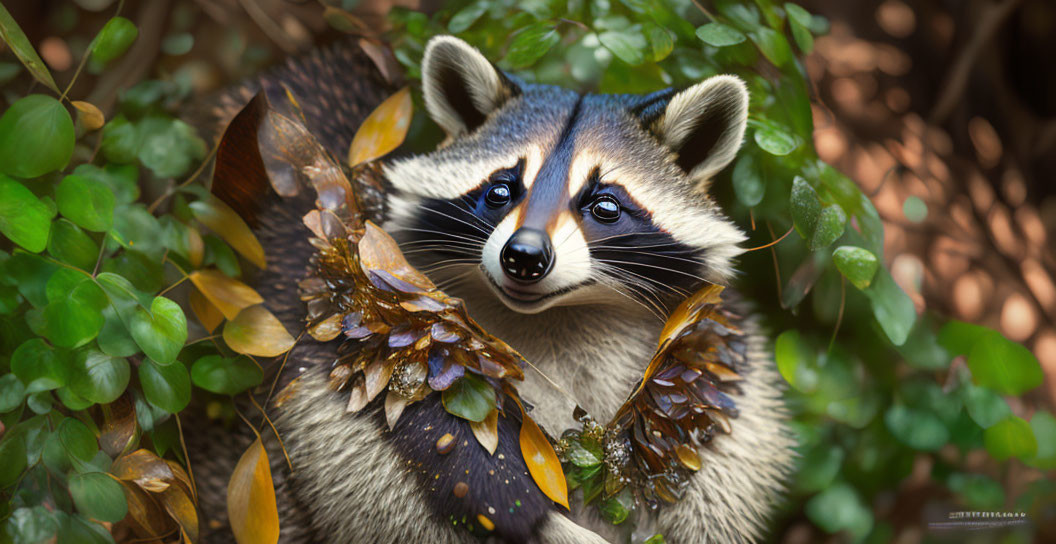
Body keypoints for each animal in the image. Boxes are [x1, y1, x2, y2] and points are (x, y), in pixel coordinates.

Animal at [187, 34, 794, 544]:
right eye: (501, 190)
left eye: (604, 205)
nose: (523, 257)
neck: (558, 315)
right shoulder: (350, 331)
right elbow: (406, 444)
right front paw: (528, 511)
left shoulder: (723, 365)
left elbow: (726, 466)